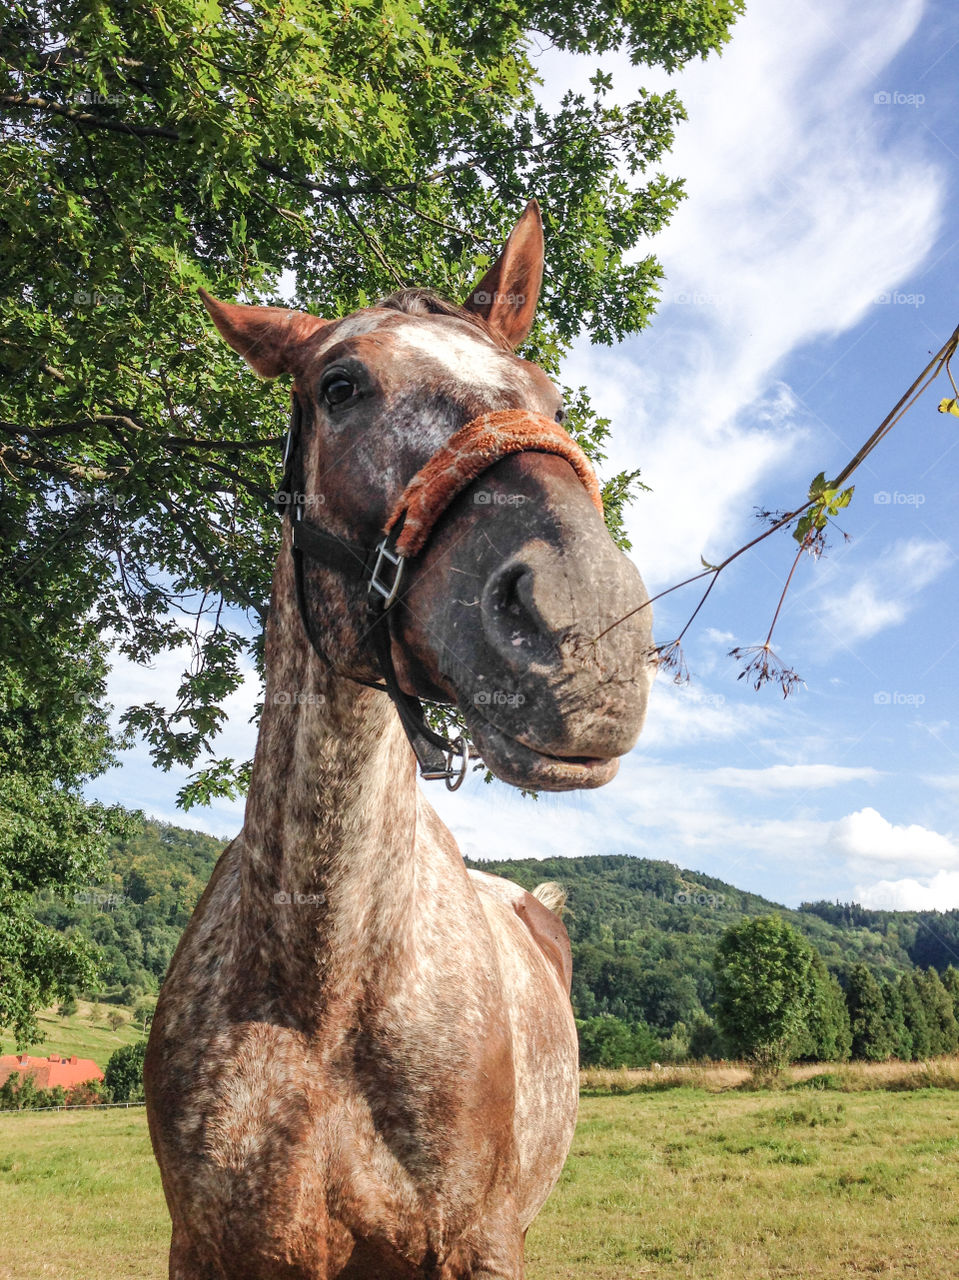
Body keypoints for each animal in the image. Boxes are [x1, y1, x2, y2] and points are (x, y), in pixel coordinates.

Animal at [144, 200, 654, 1280]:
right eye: (339, 386)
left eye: (546, 392)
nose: (587, 622)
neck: (321, 991)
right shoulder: (208, 1249)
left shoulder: (478, 1243)